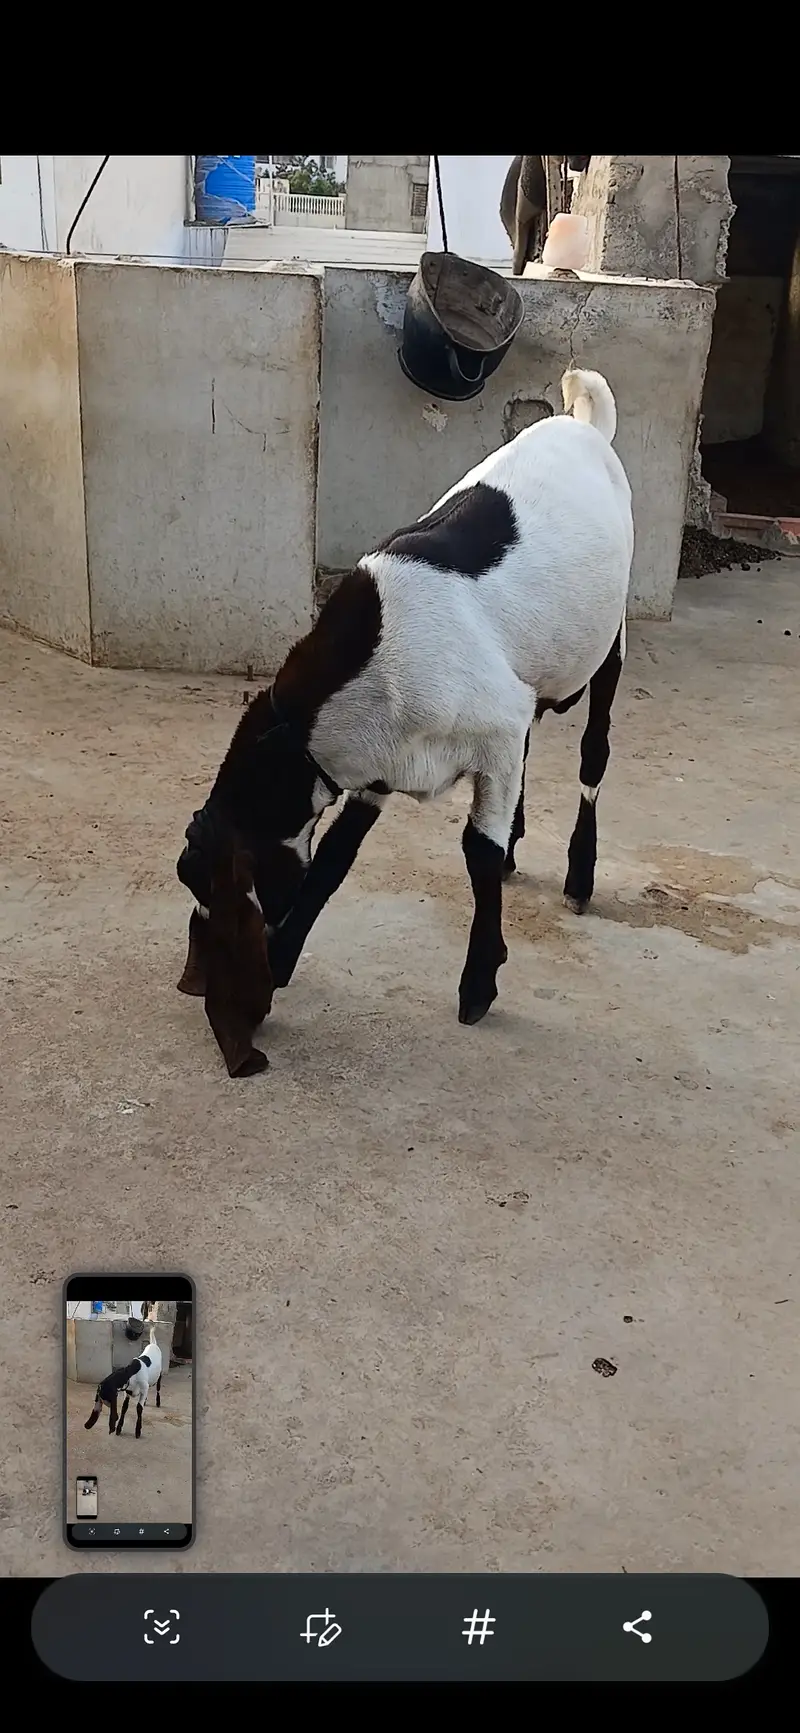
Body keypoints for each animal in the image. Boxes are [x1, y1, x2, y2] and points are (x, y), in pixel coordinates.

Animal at [176, 365, 633, 1071]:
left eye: (218, 891)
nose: (195, 983)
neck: (374, 652)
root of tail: (585, 422)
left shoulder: (489, 730)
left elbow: (475, 850)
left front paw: (479, 983)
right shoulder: (381, 766)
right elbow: (334, 859)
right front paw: (283, 959)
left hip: (608, 645)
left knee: (593, 754)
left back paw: (579, 875)